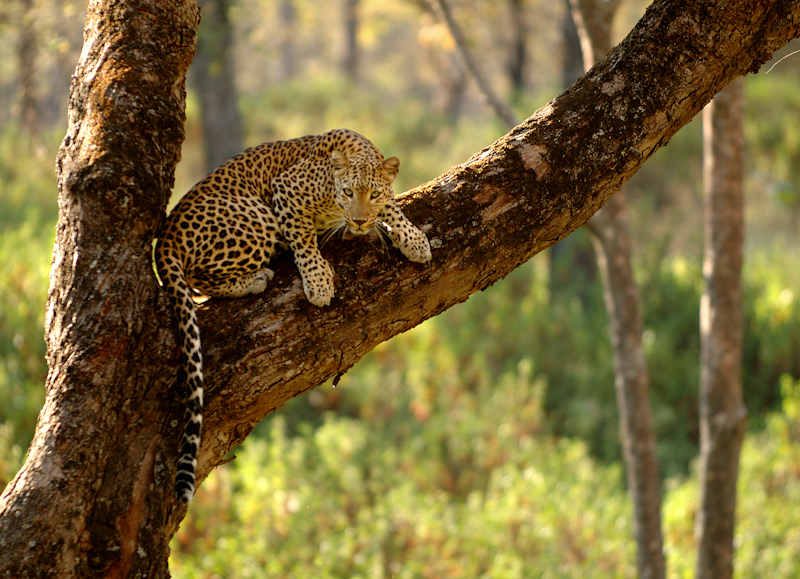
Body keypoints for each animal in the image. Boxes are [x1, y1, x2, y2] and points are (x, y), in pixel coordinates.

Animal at [155, 129, 432, 506]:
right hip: (257, 218)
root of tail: (165, 237)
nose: (359, 221)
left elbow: (392, 205)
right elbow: (302, 237)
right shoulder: (285, 189)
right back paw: (256, 279)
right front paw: (318, 281)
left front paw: (413, 239)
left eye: (371, 194)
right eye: (348, 192)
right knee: (199, 279)